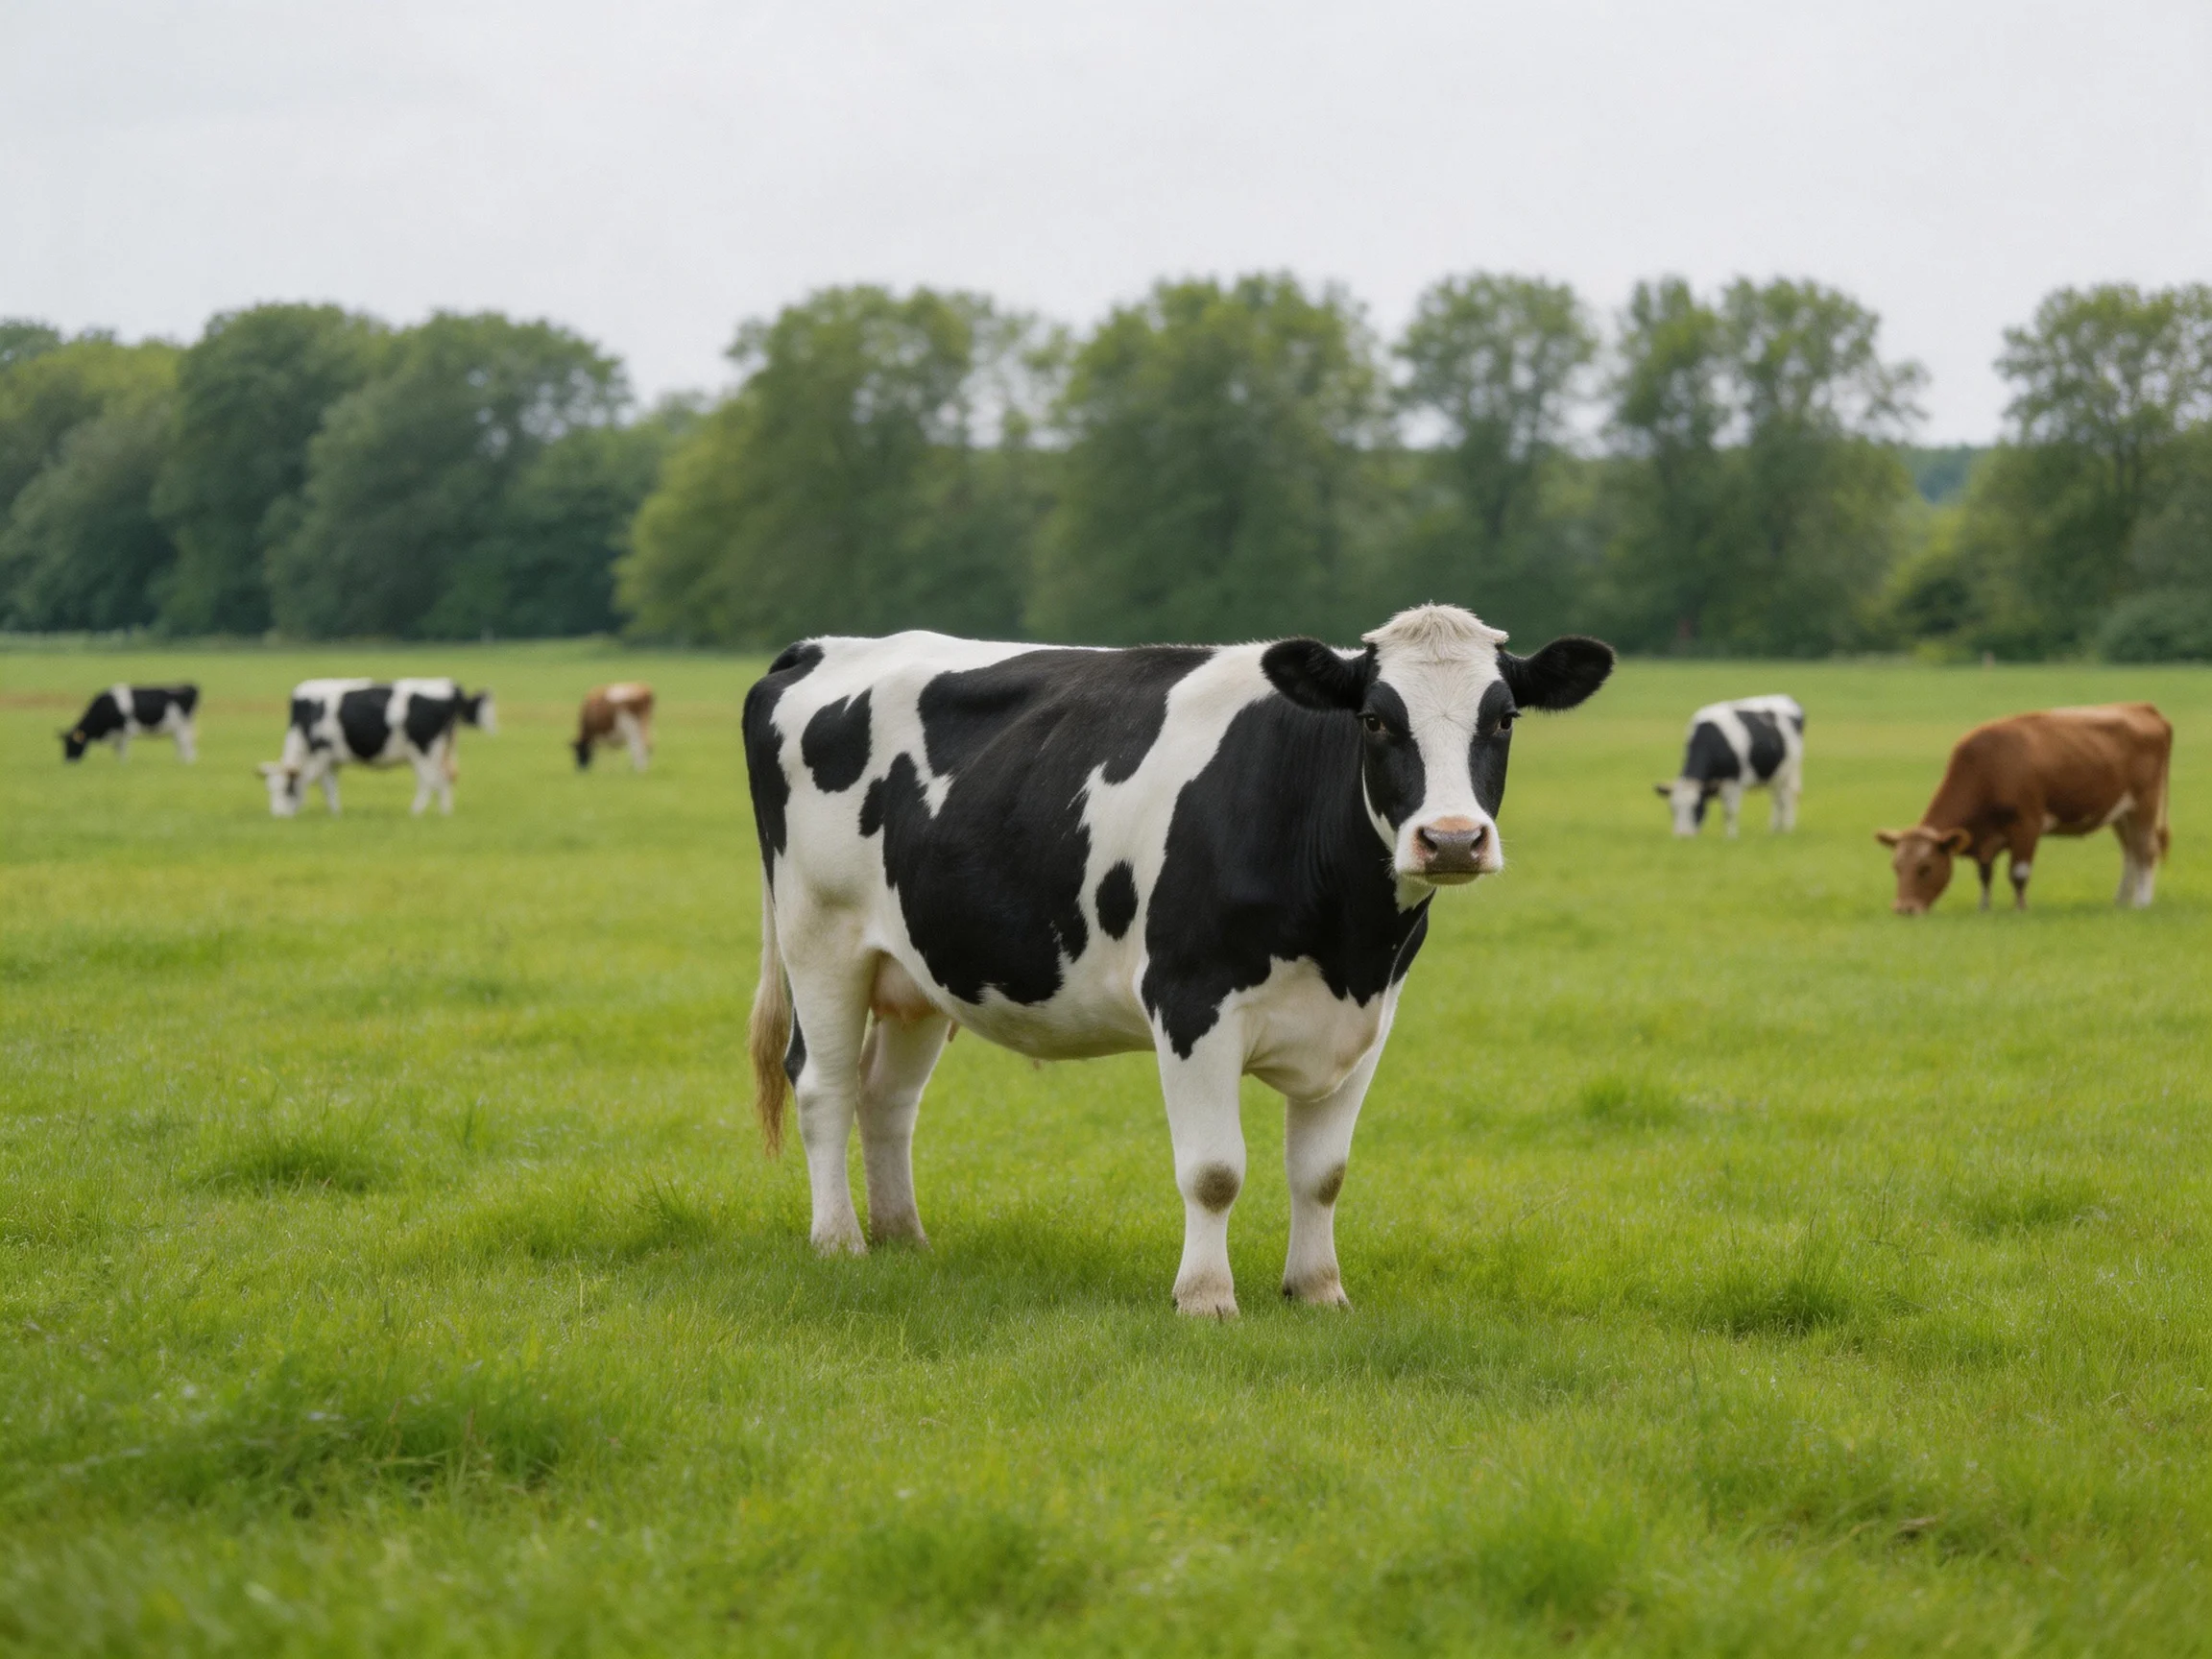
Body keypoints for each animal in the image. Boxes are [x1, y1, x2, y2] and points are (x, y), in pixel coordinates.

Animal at [61, 684, 199, 762]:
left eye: (71, 744)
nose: (68, 761)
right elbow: (116, 749)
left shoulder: (125, 731)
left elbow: (122, 750)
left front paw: (123, 763)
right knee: (182, 745)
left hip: (182, 727)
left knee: (185, 744)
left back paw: (187, 762)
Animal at [257, 678, 495, 818]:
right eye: (270, 789)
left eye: (287, 789)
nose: (278, 815)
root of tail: (450, 687)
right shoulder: (332, 759)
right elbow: (330, 786)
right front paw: (336, 813)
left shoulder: (322, 753)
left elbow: (321, 784)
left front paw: (333, 813)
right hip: (441, 749)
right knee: (445, 776)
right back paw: (445, 813)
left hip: (425, 750)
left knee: (430, 780)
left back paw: (415, 813)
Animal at [742, 605, 1614, 1316]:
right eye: (1373, 719)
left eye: (1504, 719)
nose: (1453, 839)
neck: (1347, 939)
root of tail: (825, 646)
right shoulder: (1192, 1003)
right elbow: (1214, 1171)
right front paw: (1205, 1298)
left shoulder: (1367, 1021)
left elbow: (1323, 1173)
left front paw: (1318, 1291)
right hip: (821, 937)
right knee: (824, 1087)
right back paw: (841, 1242)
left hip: (919, 969)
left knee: (887, 1100)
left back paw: (904, 1239)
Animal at [1655, 695, 1803, 836]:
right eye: (1672, 809)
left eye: (1697, 807)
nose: (1683, 836)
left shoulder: (1733, 782)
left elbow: (1730, 812)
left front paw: (1730, 837)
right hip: (1774, 775)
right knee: (1777, 800)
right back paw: (1774, 830)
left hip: (1790, 771)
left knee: (1788, 797)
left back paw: (1787, 828)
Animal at [1877, 703, 2171, 914]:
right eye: (1896, 866)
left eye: (1925, 867)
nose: (1904, 909)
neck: (1988, 767)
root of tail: (2143, 707)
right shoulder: (1987, 838)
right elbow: (1985, 874)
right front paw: (1984, 908)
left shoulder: (2027, 824)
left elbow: (2018, 873)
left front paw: (2020, 908)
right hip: (2121, 813)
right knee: (2130, 852)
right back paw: (2121, 901)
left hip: (2145, 803)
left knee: (2146, 850)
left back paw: (2142, 903)